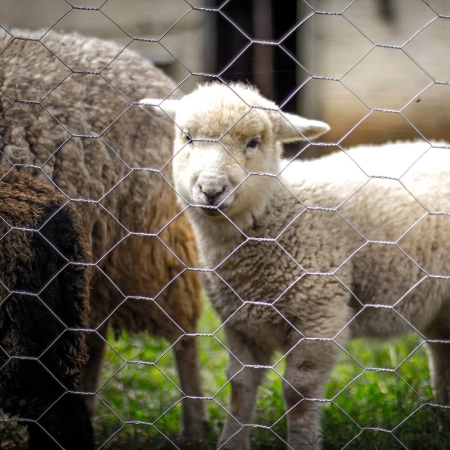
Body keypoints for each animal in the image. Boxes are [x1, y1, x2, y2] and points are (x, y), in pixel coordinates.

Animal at [142, 82, 450, 448]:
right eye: (187, 137)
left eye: (253, 142)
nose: (211, 190)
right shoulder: (240, 321)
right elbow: (240, 386)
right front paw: (231, 442)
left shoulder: (319, 314)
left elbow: (298, 392)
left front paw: (302, 441)